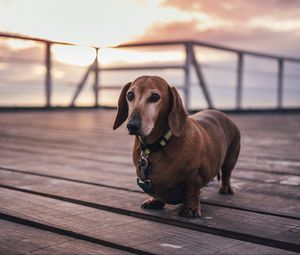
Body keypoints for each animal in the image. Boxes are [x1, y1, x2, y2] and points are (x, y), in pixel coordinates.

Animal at [113, 75, 240, 217]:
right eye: (130, 95)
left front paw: (190, 208)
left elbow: (192, 192)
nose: (132, 125)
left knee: (227, 173)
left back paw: (225, 188)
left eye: (155, 97)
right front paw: (155, 201)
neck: (157, 145)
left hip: (231, 157)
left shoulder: (195, 176)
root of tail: (221, 114)